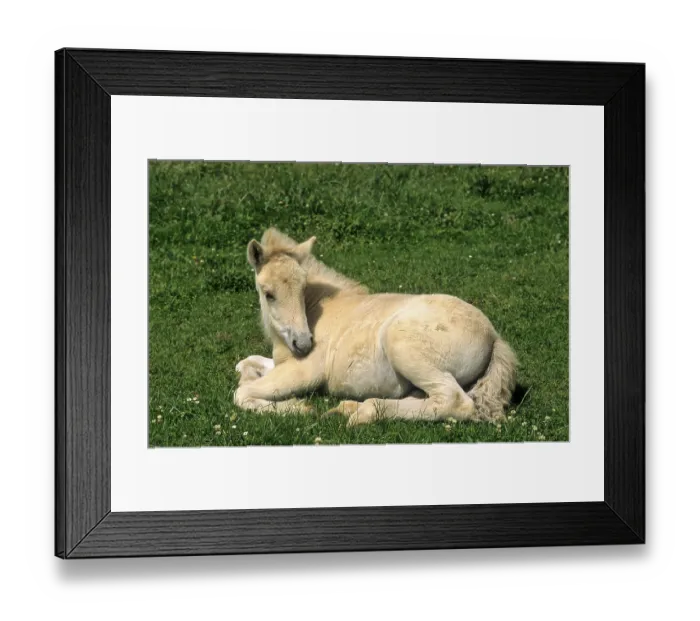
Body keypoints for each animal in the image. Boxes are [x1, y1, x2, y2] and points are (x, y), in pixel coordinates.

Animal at [234, 228, 517, 426]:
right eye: (269, 294)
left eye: (303, 289)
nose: (303, 344)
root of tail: (494, 337)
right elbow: (245, 363)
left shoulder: (303, 371)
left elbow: (241, 393)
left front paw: (298, 406)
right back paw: (348, 408)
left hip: (403, 347)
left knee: (454, 401)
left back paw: (363, 412)